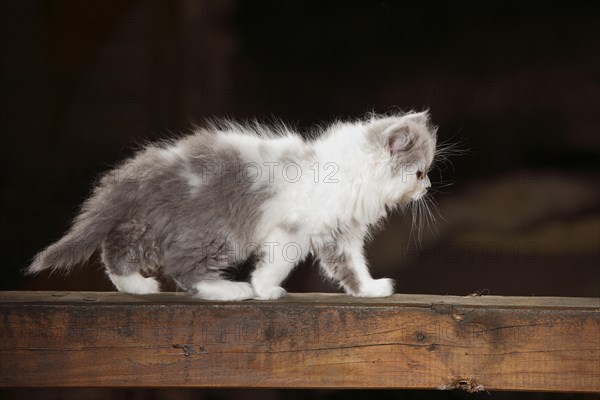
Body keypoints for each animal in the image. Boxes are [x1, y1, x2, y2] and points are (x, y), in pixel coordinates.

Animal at [25, 111, 438, 298]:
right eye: (419, 172)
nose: (429, 186)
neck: (351, 172)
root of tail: (146, 168)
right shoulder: (294, 229)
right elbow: (280, 262)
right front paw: (264, 289)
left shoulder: (338, 233)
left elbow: (351, 267)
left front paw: (370, 289)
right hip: (212, 231)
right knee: (185, 267)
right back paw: (229, 290)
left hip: (151, 226)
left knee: (118, 248)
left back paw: (136, 286)